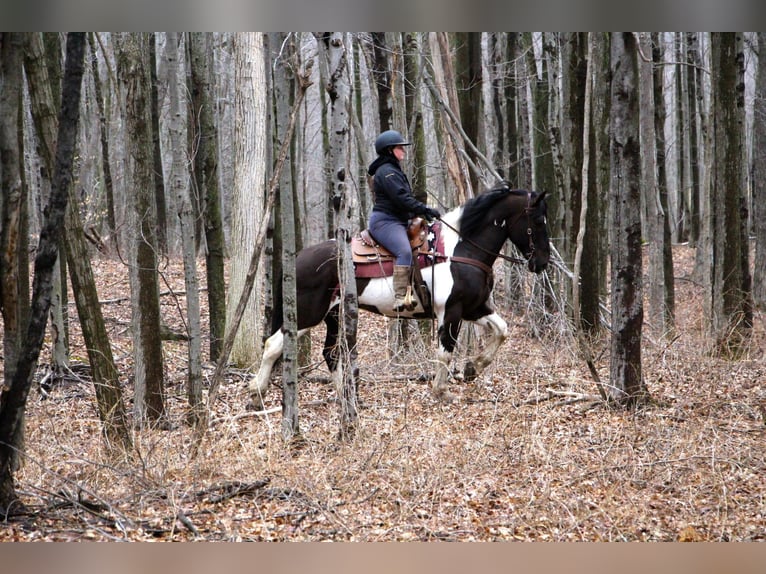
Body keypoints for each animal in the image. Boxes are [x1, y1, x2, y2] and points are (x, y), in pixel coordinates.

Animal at [250, 186, 552, 410]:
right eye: (538, 221)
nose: (542, 263)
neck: (461, 251)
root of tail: (297, 259)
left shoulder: (475, 308)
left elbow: (502, 330)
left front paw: (472, 368)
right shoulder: (451, 312)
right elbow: (445, 352)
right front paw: (442, 391)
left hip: (333, 315)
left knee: (331, 353)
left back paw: (348, 399)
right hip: (307, 314)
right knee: (274, 344)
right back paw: (256, 394)